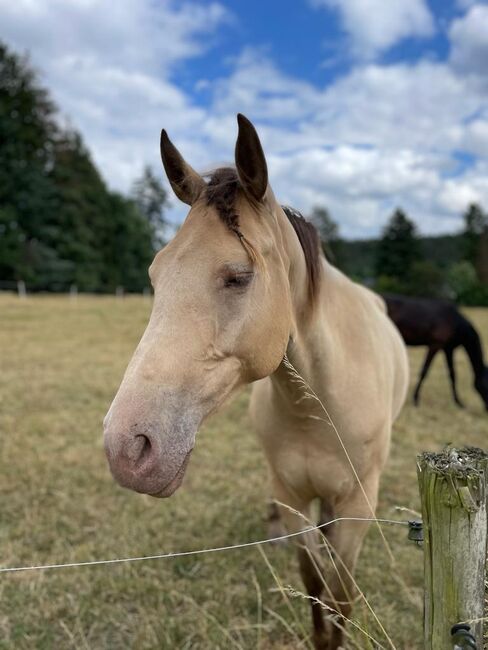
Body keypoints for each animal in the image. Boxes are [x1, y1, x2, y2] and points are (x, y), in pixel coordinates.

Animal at [105, 114, 410, 644]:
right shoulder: (291, 498)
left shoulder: (357, 505)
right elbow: (314, 584)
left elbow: (340, 597)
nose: (127, 448)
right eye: (155, 275)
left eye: (239, 276)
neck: (316, 407)